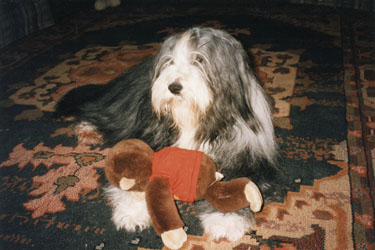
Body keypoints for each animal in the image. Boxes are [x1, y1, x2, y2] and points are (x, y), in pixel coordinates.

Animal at [55, 27, 290, 242]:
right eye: (170, 61)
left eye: (199, 59)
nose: (174, 87)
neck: (192, 118)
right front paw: (131, 213)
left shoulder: (246, 154)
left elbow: (239, 183)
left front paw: (226, 221)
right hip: (122, 109)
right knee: (101, 112)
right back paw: (88, 129)